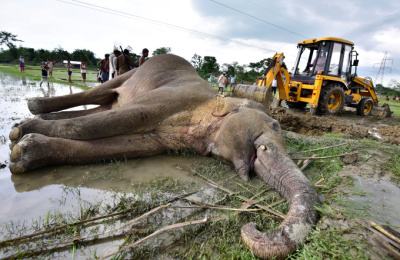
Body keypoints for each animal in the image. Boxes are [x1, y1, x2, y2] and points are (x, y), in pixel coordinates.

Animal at [8, 53, 318, 258]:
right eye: (275, 125)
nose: (252, 224)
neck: (215, 101)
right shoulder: (173, 96)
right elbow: (123, 119)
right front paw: (19, 136)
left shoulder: (167, 138)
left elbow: (129, 143)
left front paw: (23, 152)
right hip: (131, 71)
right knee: (101, 95)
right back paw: (31, 110)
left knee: (104, 105)